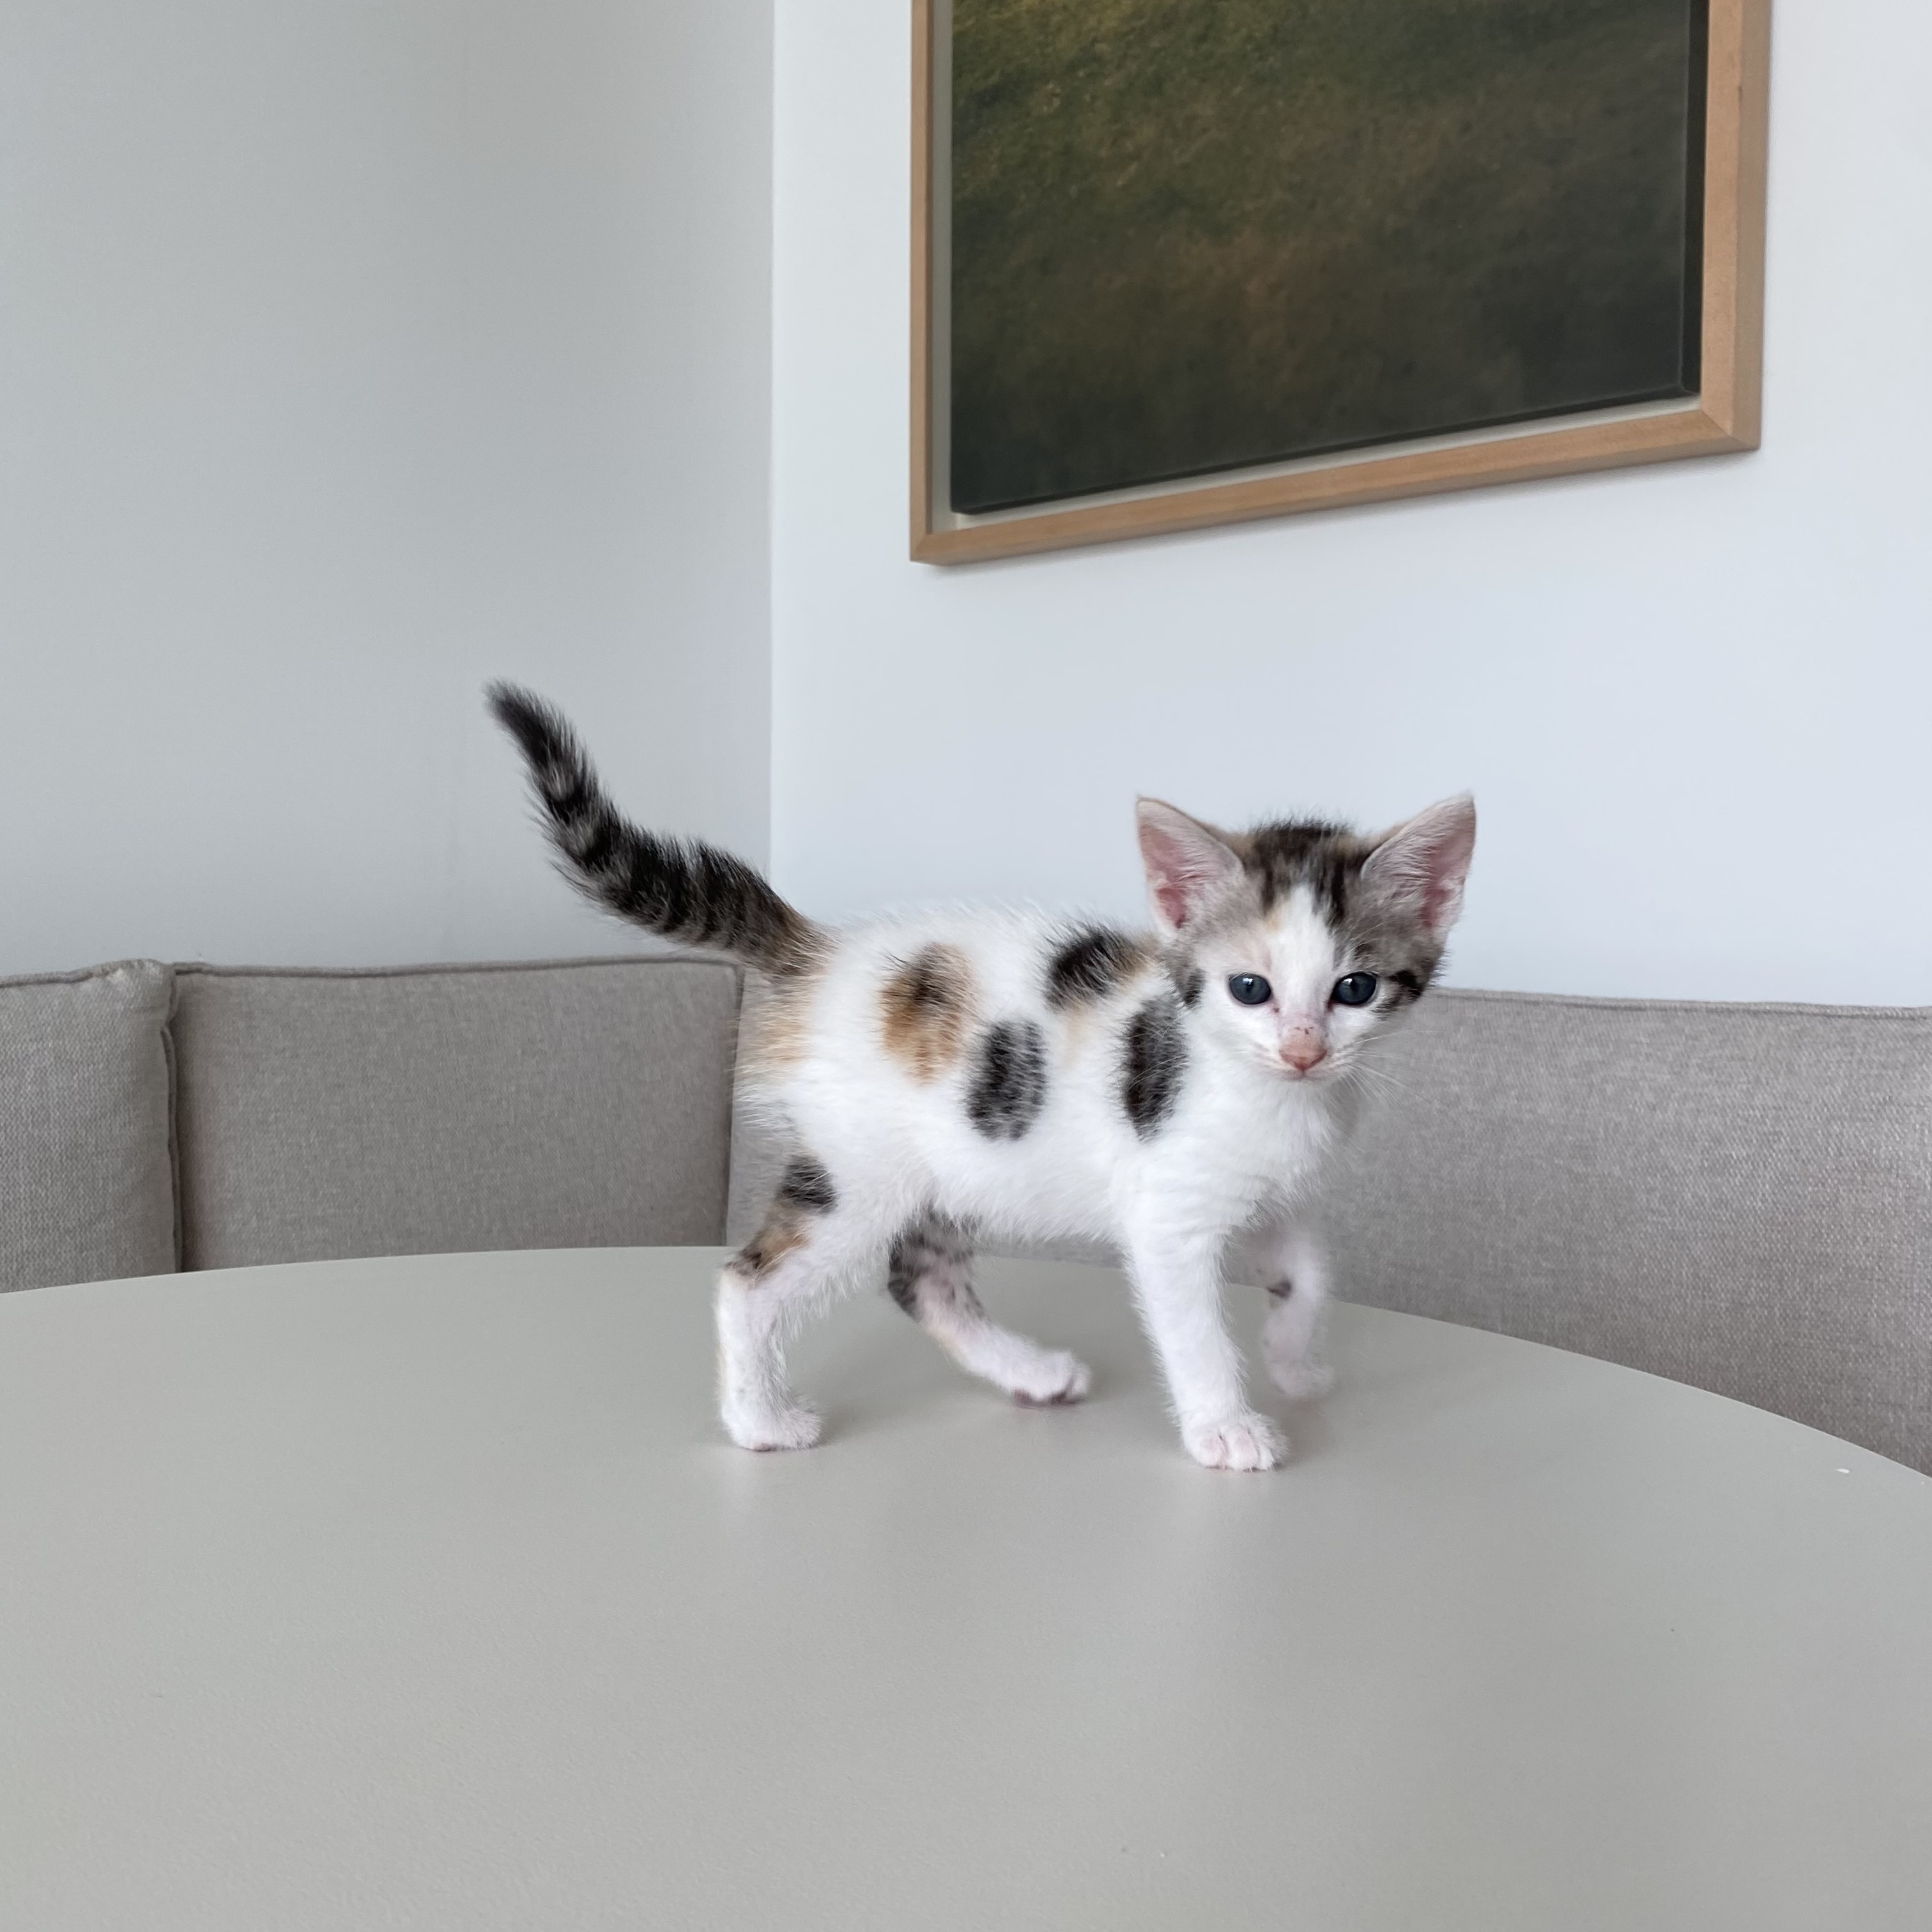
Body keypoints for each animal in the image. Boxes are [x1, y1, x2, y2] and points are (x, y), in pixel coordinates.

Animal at [489, 683, 1474, 1472]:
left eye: (1355, 989)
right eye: (1250, 989)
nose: (1305, 1049)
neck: (1273, 1095)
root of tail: (821, 953)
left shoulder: (1272, 1191)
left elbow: (1309, 1269)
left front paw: (1297, 1360)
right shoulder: (1169, 1215)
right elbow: (1194, 1329)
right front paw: (1225, 1426)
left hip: (951, 1168)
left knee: (919, 1279)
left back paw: (1030, 1372)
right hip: (862, 1172)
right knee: (752, 1281)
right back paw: (760, 1421)